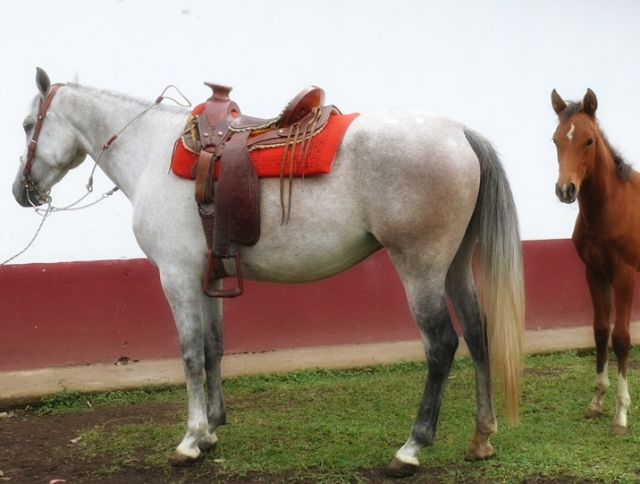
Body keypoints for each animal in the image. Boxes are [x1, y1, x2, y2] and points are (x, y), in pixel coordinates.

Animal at [13, 67, 525, 477]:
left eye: (25, 124)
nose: (22, 191)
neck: (153, 153)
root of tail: (461, 133)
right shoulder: (208, 278)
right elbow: (213, 349)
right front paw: (211, 431)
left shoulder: (177, 277)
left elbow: (190, 355)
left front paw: (189, 440)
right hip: (454, 267)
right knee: (478, 334)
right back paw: (482, 437)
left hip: (419, 269)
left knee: (442, 346)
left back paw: (411, 448)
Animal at [552, 88, 640, 434]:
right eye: (555, 140)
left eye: (589, 140)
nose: (566, 190)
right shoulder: (594, 273)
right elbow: (601, 331)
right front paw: (597, 402)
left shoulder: (624, 275)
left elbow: (622, 338)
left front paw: (621, 415)